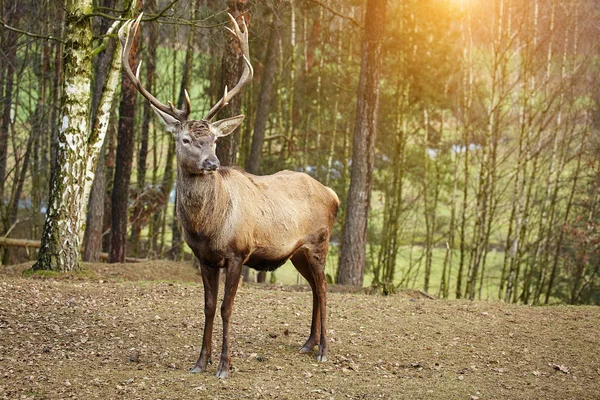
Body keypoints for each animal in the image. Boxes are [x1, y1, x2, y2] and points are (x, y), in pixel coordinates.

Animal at [119, 14, 340, 378]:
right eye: (185, 140)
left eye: (214, 140)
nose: (212, 163)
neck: (207, 227)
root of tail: (333, 194)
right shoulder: (204, 257)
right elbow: (208, 307)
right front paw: (200, 362)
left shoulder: (238, 252)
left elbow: (226, 307)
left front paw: (225, 364)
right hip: (297, 252)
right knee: (312, 288)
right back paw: (307, 344)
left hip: (319, 242)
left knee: (323, 288)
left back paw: (323, 349)